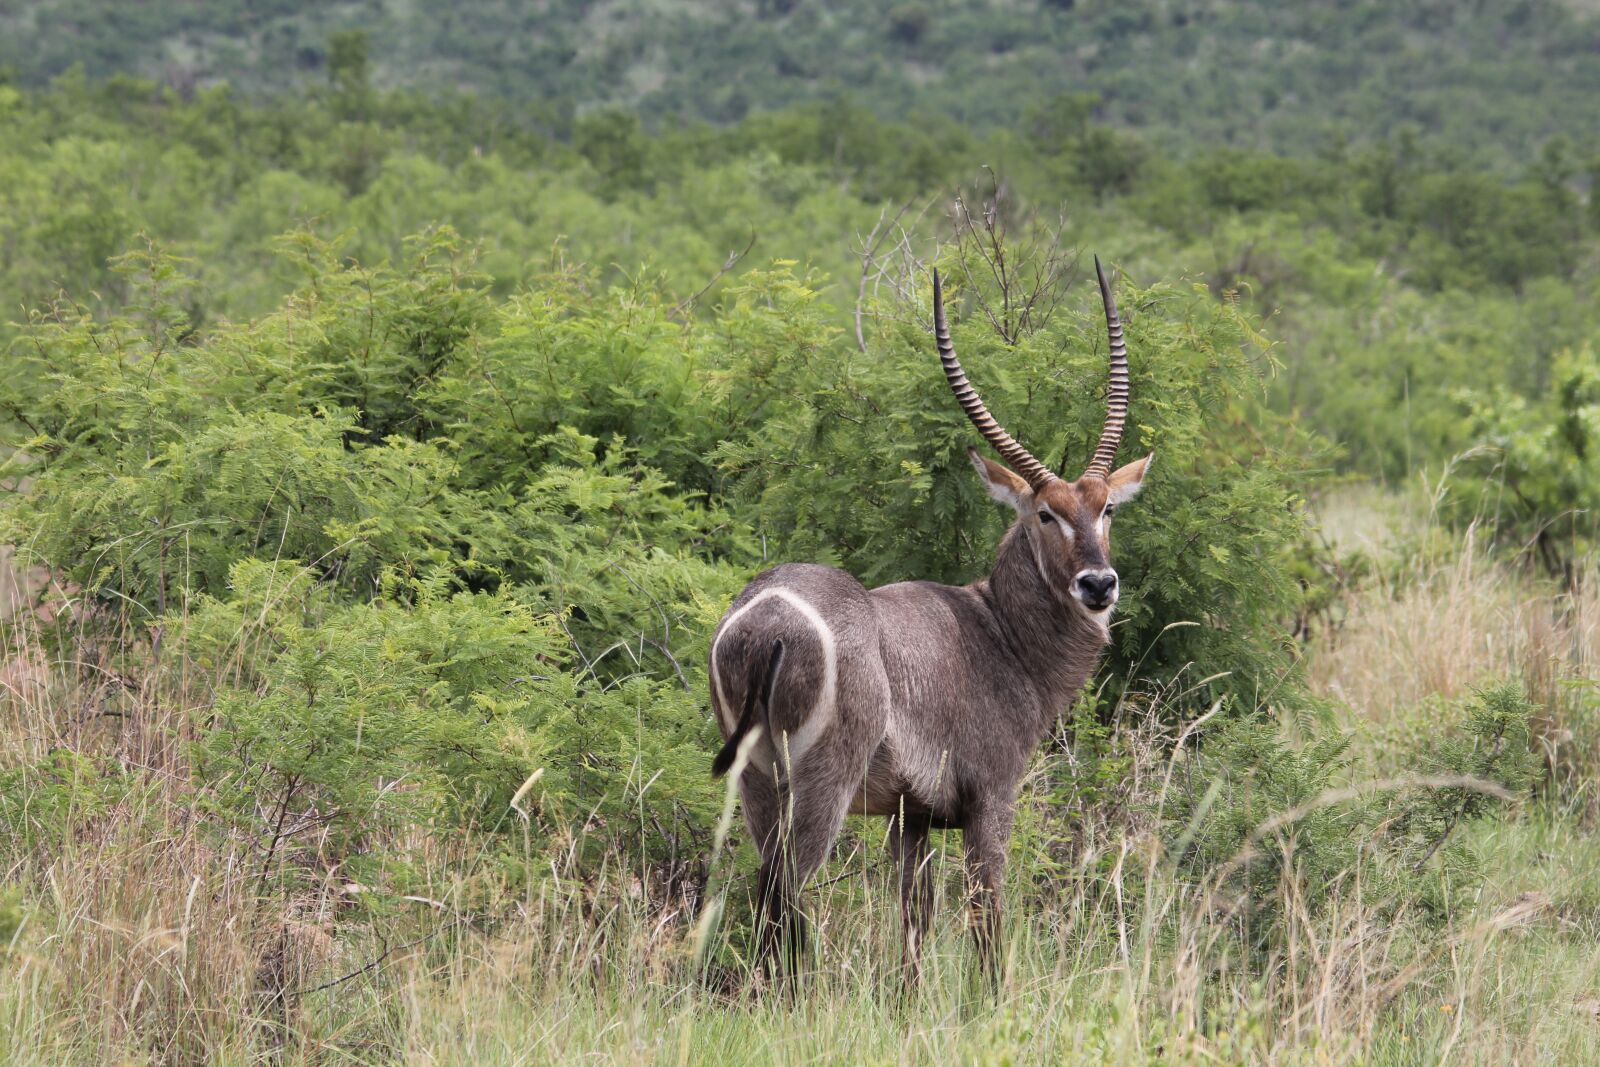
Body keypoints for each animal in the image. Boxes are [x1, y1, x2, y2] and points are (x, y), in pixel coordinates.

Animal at [708, 257, 1153, 984]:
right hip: (820, 781)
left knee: (767, 889)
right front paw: (993, 1001)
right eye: (1045, 513)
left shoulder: (909, 817)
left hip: (756, 782)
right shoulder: (990, 800)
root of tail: (766, 616)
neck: (998, 632)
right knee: (786, 887)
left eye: (1107, 508)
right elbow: (987, 918)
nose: (1098, 583)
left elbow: (914, 927)